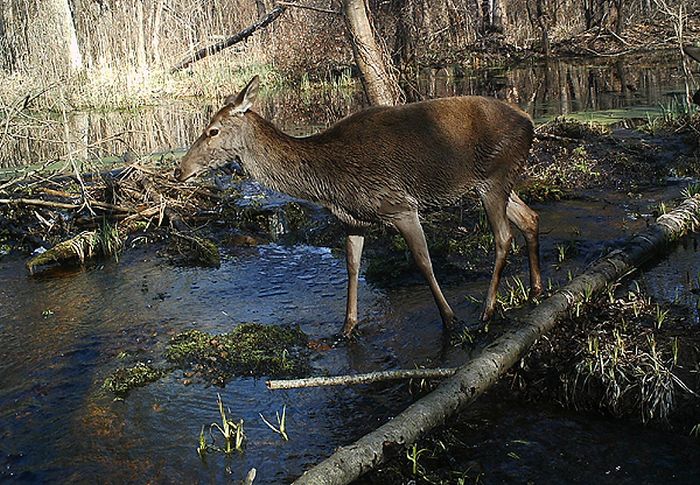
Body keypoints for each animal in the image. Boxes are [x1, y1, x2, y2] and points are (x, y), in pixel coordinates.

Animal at [174, 77, 540, 338]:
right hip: (498, 181)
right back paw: (535, 289)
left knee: (503, 237)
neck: (328, 184)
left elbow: (423, 263)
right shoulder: (353, 220)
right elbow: (351, 267)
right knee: (530, 218)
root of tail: (530, 122)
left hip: (493, 179)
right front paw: (347, 327)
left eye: (212, 130)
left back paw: (487, 312)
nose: (180, 170)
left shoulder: (399, 205)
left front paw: (450, 320)